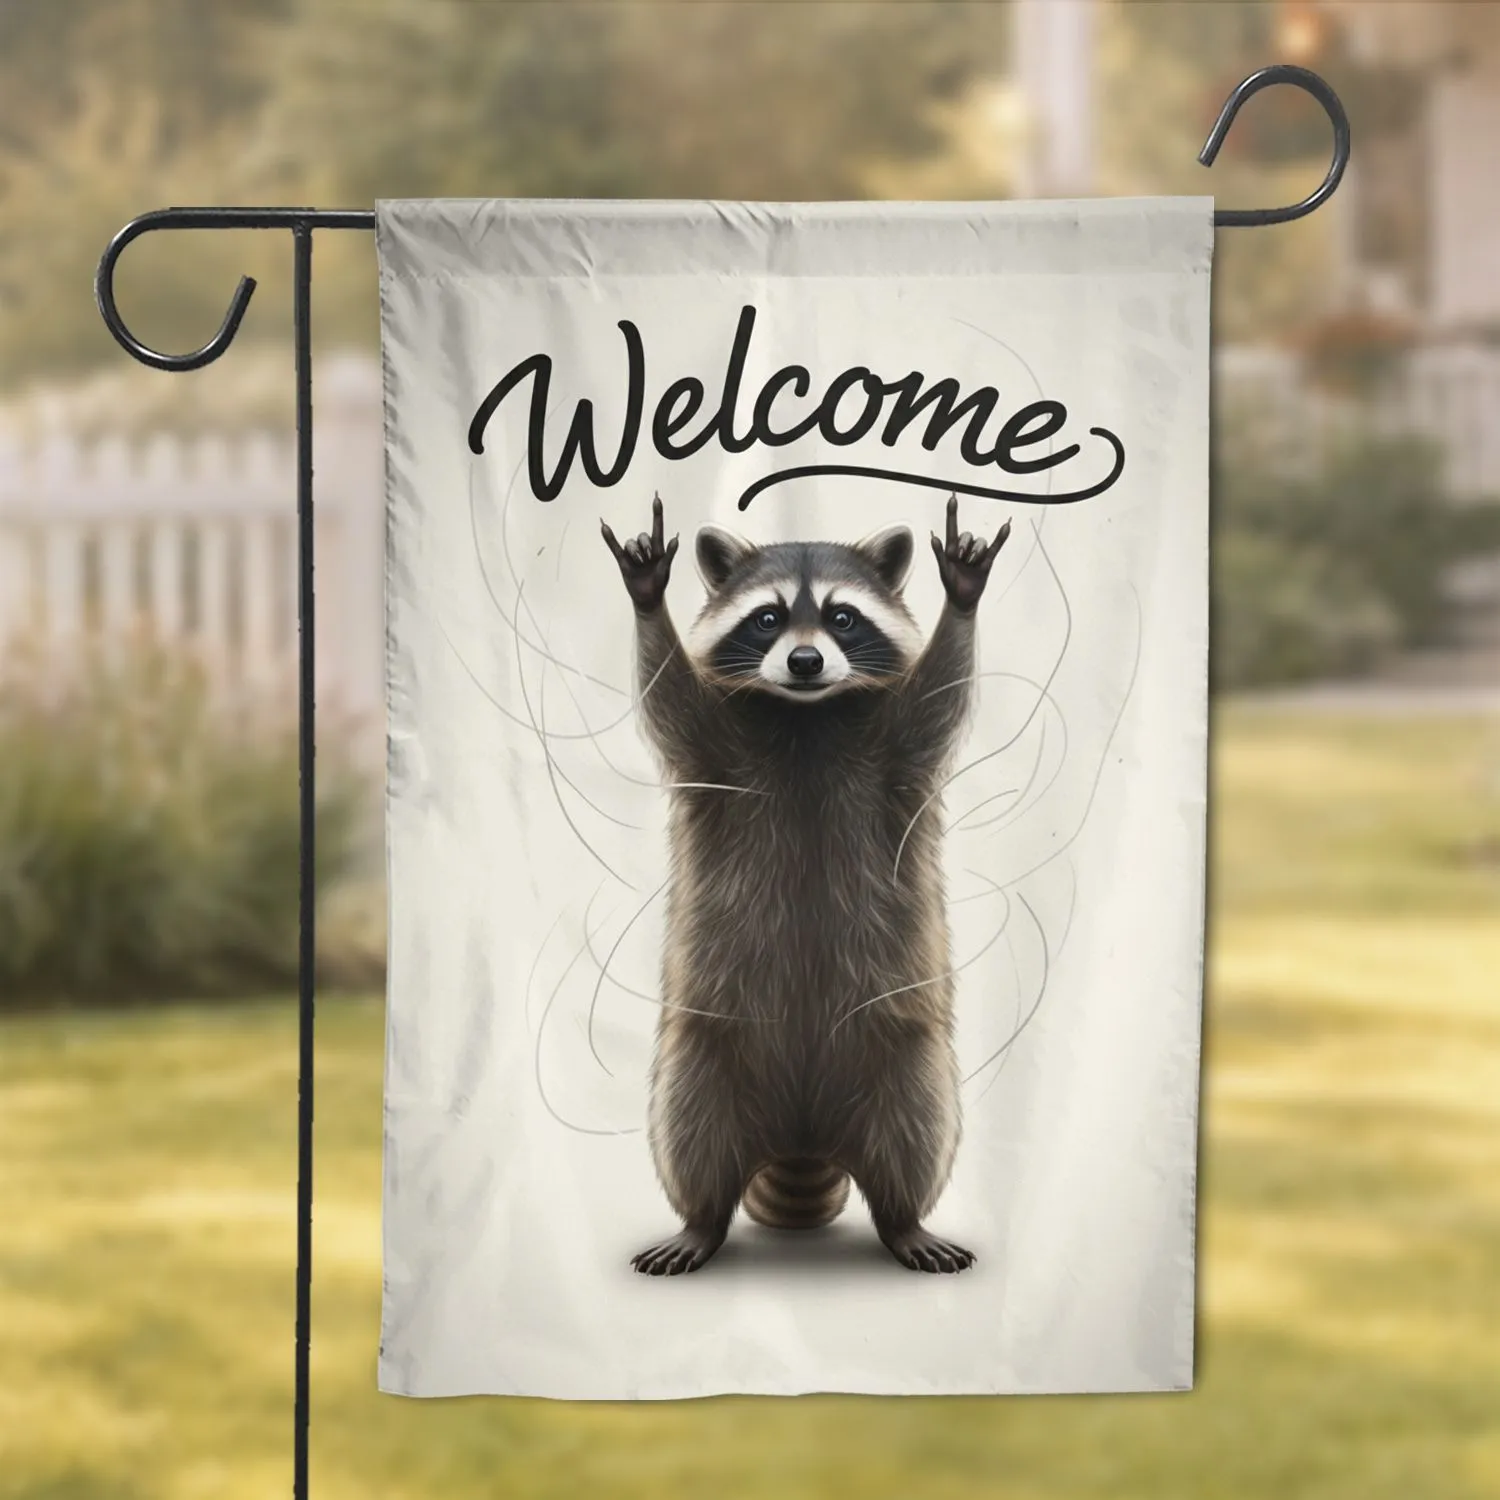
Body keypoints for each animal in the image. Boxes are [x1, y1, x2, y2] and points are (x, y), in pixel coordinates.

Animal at [600, 493, 1010, 1274]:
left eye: (842, 617)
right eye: (767, 618)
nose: (805, 660)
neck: (806, 715)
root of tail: (802, 1140)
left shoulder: (895, 754)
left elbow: (938, 699)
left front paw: (964, 597)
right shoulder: (716, 751)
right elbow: (671, 701)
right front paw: (646, 597)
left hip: (901, 1046)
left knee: (917, 1125)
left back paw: (905, 1220)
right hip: (706, 1046)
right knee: (689, 1128)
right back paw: (700, 1222)